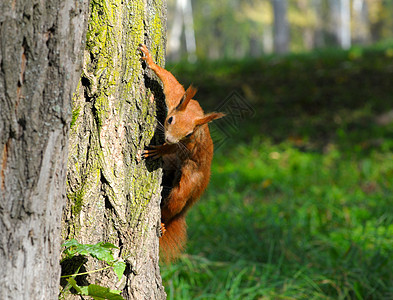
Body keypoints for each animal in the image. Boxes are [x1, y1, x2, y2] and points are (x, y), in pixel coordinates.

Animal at [139, 43, 224, 262]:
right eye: (170, 120)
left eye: (189, 133)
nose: (169, 138)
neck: (195, 115)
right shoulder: (176, 97)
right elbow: (169, 80)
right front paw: (150, 60)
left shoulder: (190, 144)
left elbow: (174, 147)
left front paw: (159, 149)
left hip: (189, 182)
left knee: (175, 203)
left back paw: (162, 222)